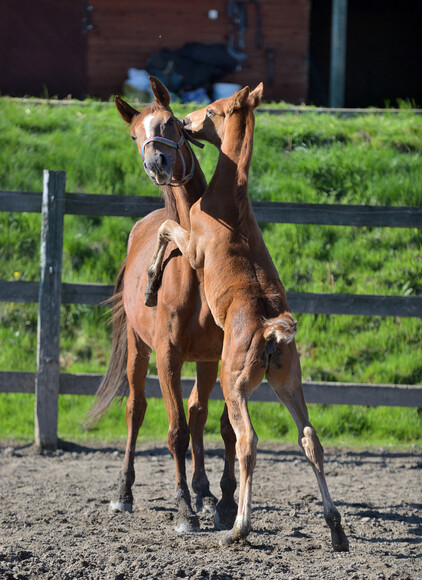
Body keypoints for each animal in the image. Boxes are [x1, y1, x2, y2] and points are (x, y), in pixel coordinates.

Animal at [145, 84, 350, 552]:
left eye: (212, 108)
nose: (186, 120)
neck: (229, 195)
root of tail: (271, 331)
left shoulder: (194, 246)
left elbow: (167, 231)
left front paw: (150, 280)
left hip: (234, 383)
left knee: (247, 441)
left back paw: (239, 527)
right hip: (288, 382)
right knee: (310, 438)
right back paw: (335, 528)